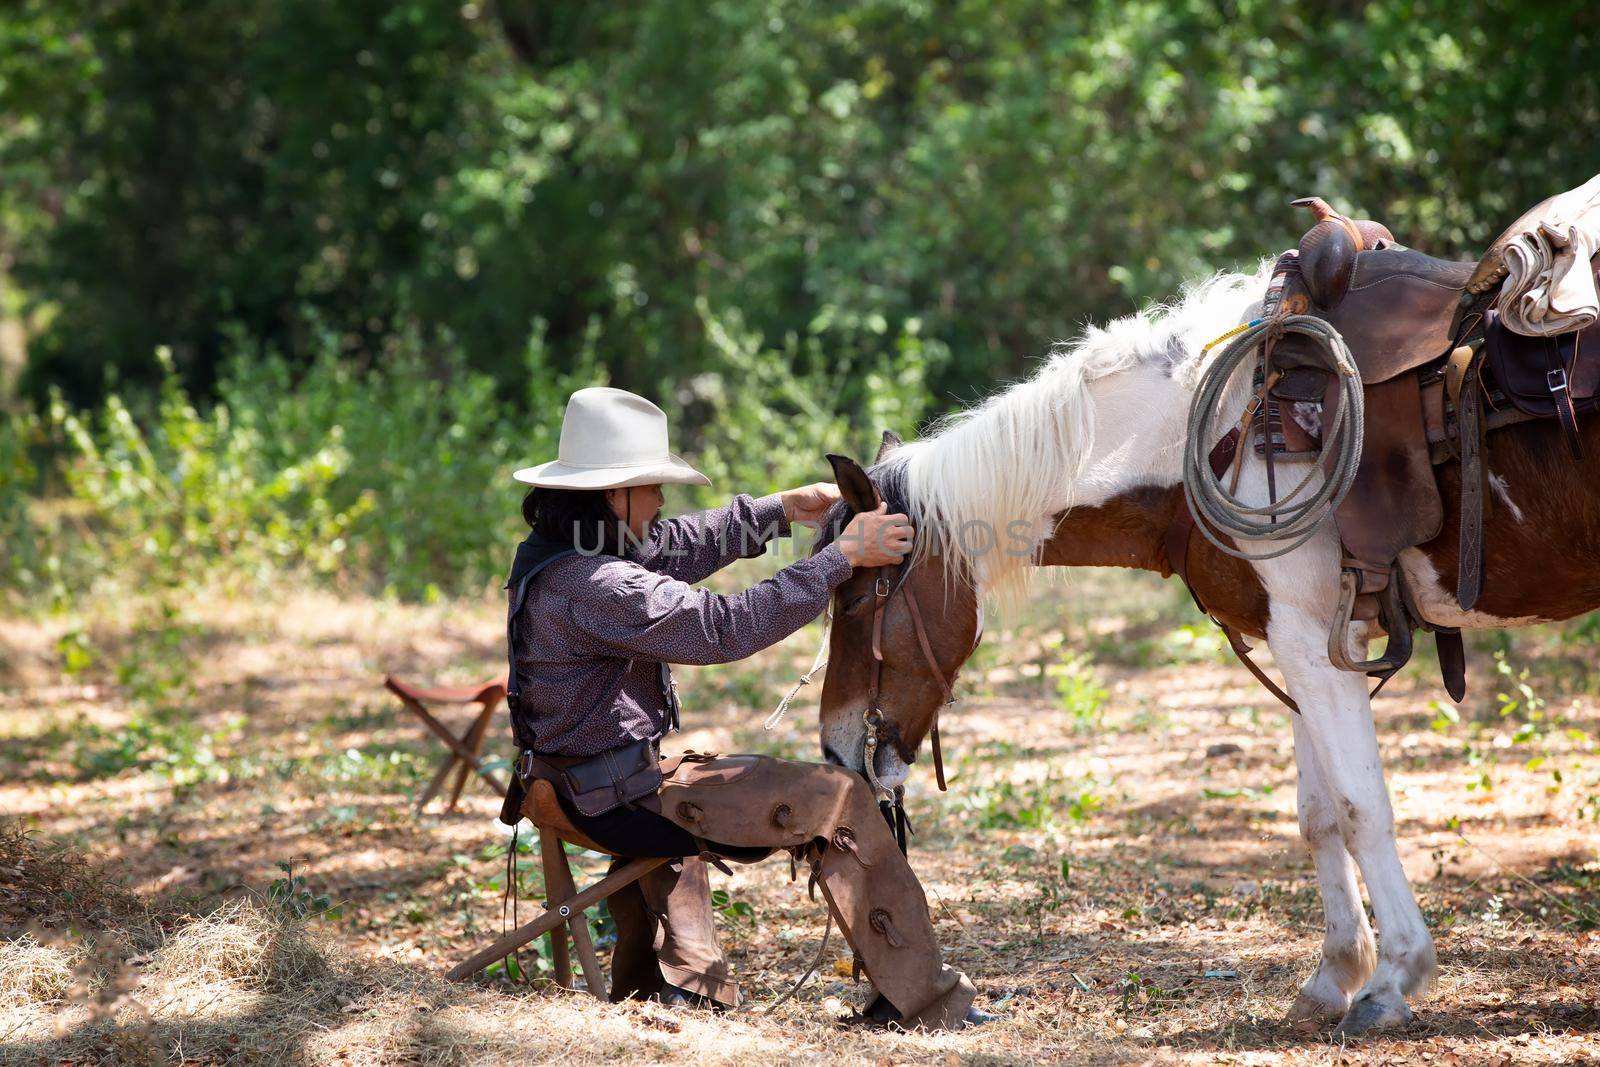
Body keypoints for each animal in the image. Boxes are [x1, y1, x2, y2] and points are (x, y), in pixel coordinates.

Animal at [812, 262, 1600, 1036]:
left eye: (854, 598)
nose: (834, 747)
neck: (1221, 431)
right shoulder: (1298, 643)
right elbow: (1319, 815)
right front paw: (1335, 975)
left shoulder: (1317, 643)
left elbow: (1361, 809)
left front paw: (1393, 979)